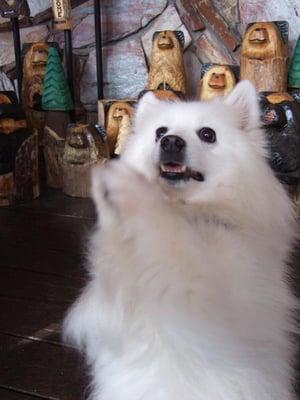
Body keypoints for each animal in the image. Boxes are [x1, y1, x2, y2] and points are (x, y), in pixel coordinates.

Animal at [63, 81, 298, 400]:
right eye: (160, 131)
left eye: (208, 134)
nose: (170, 141)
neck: (186, 213)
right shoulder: (113, 306)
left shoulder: (206, 302)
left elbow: (169, 241)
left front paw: (129, 189)